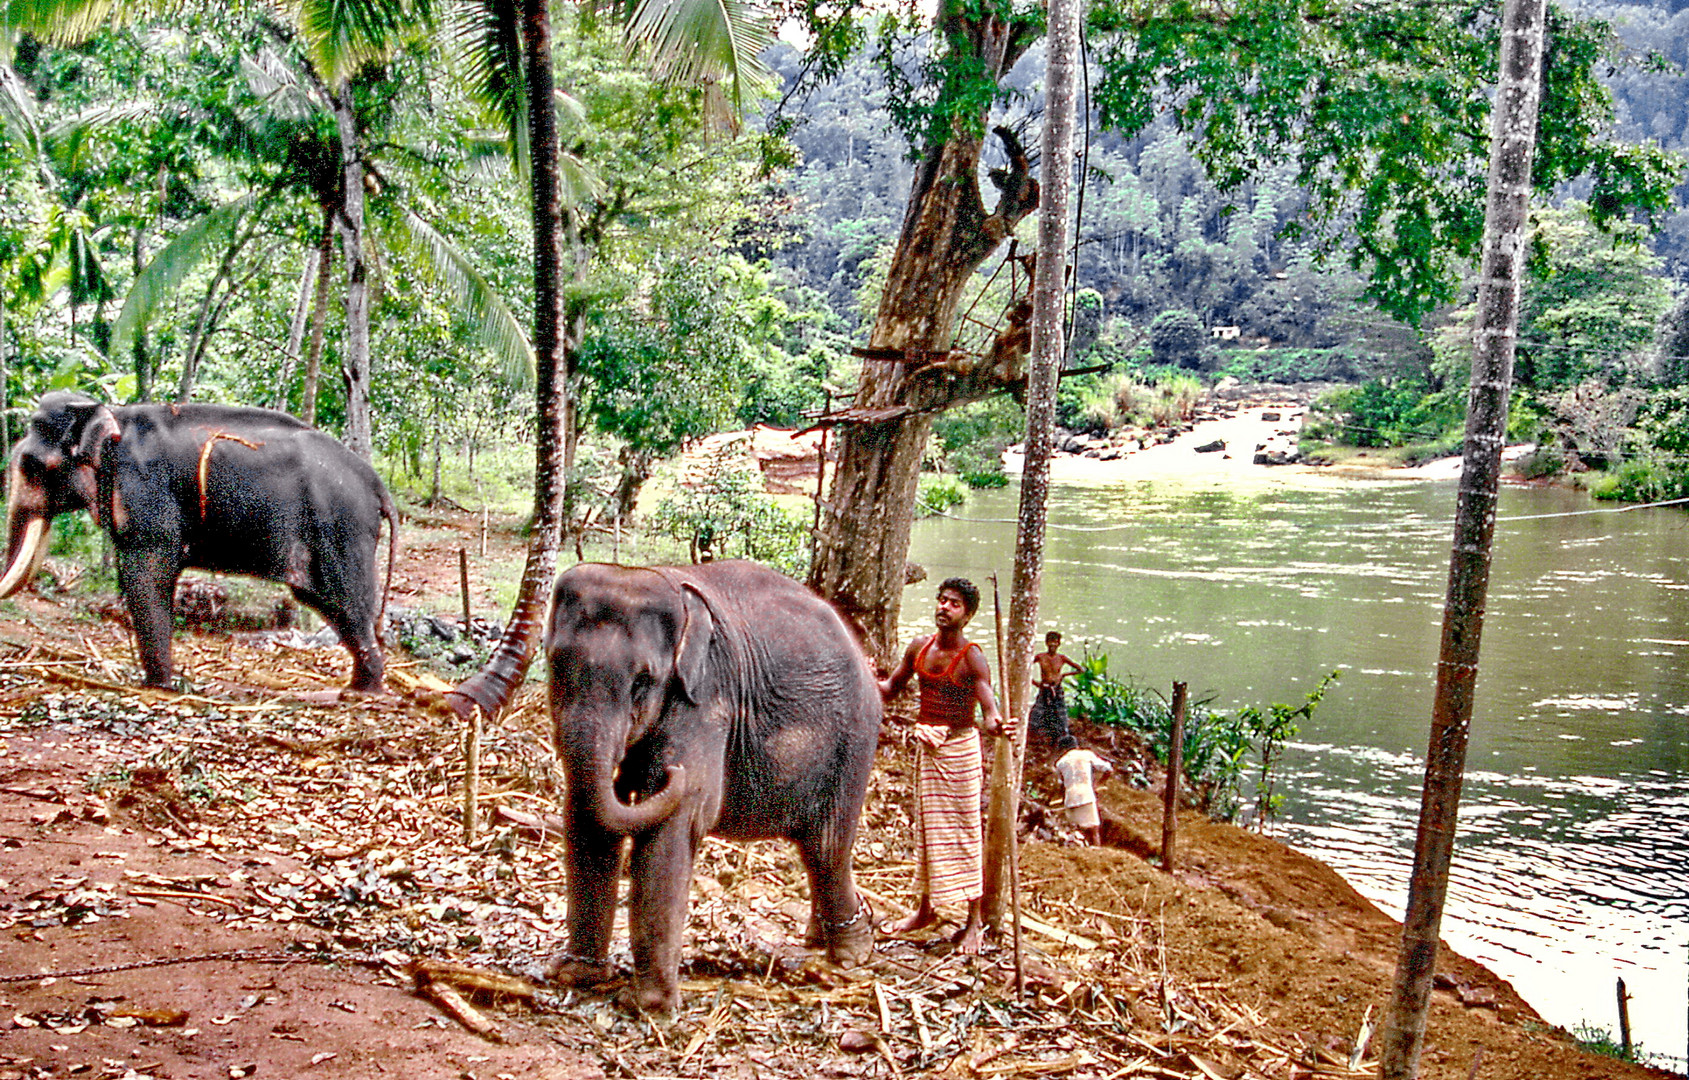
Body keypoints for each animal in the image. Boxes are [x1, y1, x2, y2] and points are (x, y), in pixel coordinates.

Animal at [0, 390, 396, 692]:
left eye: (31, 466)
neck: (110, 414)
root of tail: (378, 486)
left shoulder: (147, 492)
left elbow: (148, 574)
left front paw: (157, 686)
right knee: (326, 602)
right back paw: (358, 686)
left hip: (342, 528)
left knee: (347, 600)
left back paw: (364, 691)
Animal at [543, 557, 885, 1014]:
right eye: (555, 665)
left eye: (643, 681)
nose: (672, 774)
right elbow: (588, 814)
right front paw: (576, 976)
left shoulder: (706, 698)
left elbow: (674, 824)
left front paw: (648, 1006)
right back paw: (823, 939)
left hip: (854, 741)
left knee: (826, 850)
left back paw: (851, 954)